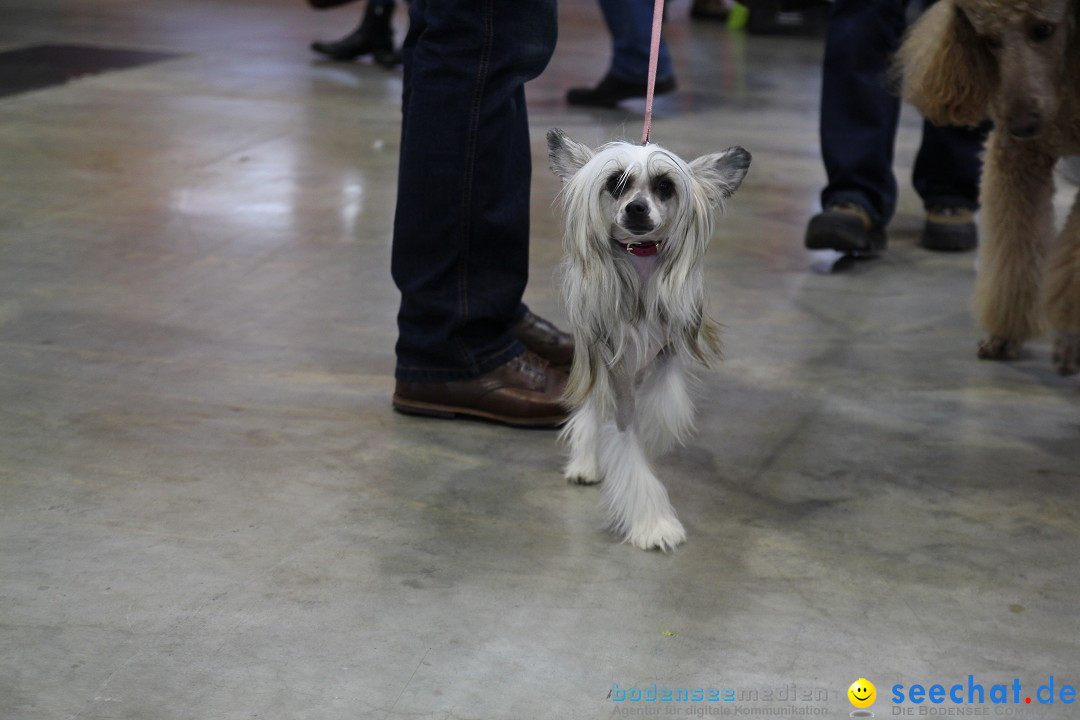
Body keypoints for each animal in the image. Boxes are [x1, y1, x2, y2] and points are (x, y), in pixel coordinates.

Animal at [548, 129, 751, 552]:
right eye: (615, 184)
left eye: (664, 187)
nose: (637, 208)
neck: (640, 263)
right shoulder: (613, 371)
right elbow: (626, 441)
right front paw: (653, 524)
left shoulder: (667, 351)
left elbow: (663, 399)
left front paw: (656, 433)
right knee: (592, 409)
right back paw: (586, 462)